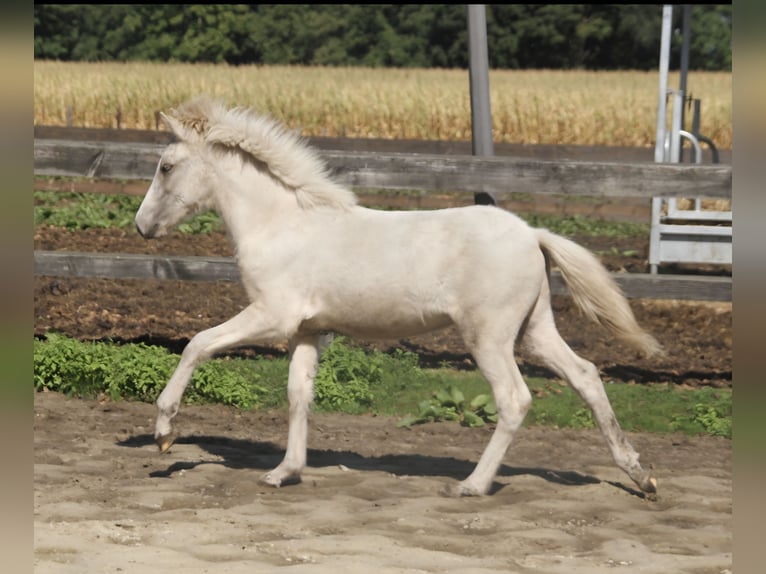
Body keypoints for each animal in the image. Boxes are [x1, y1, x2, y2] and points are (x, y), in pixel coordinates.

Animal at [135, 96, 661, 498]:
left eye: (166, 166)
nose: (141, 226)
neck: (283, 224)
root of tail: (533, 233)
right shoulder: (307, 331)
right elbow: (298, 395)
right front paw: (285, 471)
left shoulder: (273, 316)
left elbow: (198, 344)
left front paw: (164, 434)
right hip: (534, 329)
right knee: (586, 376)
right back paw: (641, 476)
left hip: (489, 336)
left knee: (514, 399)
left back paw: (472, 485)